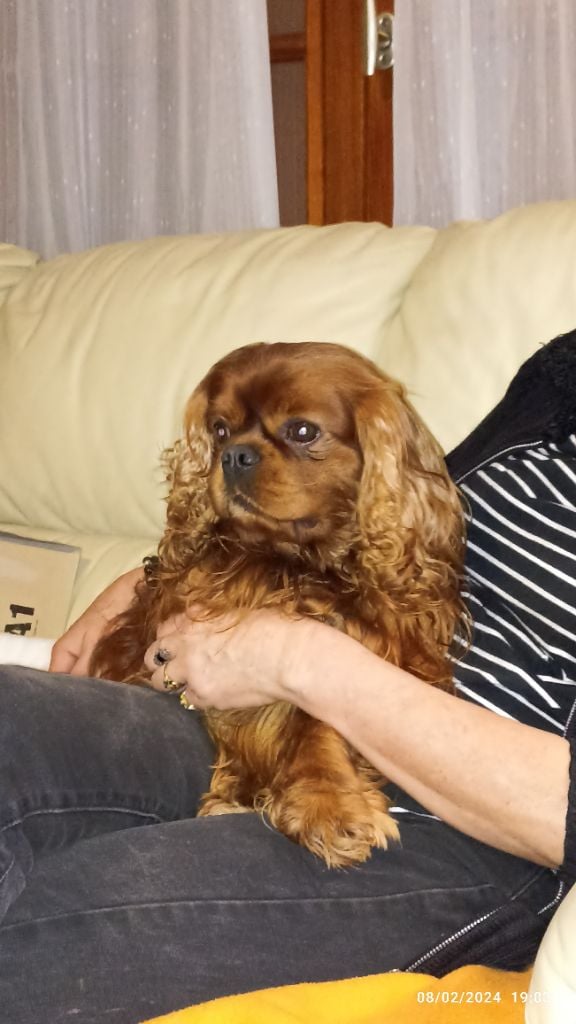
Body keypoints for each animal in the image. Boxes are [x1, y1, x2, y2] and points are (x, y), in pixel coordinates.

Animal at [91, 342, 467, 867]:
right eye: (219, 429)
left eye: (302, 431)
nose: (234, 455)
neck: (290, 563)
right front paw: (242, 795)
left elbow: (316, 723)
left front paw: (327, 802)